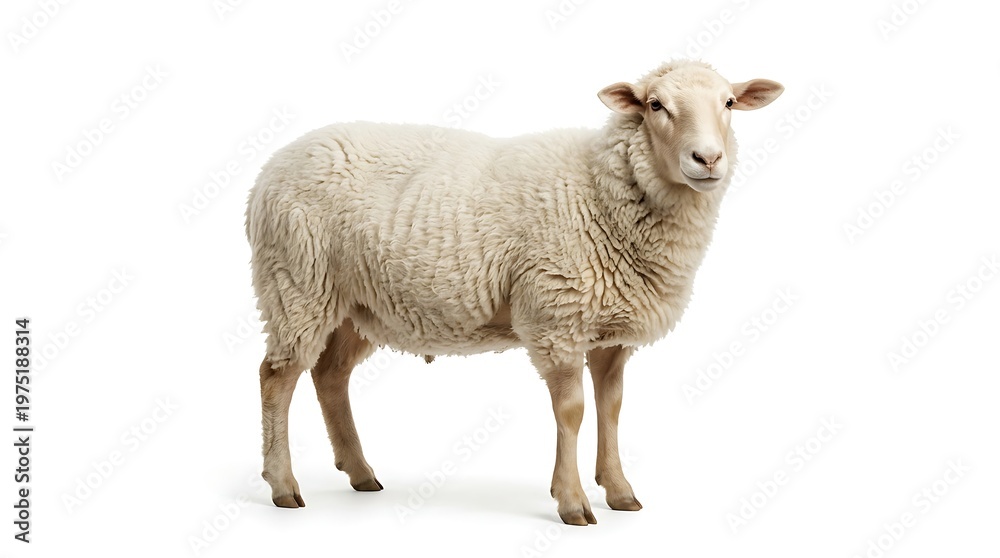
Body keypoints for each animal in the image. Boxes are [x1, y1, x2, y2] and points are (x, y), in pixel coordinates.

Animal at [245, 59, 783, 525]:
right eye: (655, 105)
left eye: (729, 102)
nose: (708, 159)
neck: (599, 193)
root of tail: (273, 165)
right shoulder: (556, 317)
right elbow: (573, 411)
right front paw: (572, 502)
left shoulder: (610, 332)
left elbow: (611, 406)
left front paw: (619, 491)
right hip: (296, 282)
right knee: (277, 377)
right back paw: (283, 485)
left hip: (356, 303)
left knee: (329, 375)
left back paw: (360, 473)